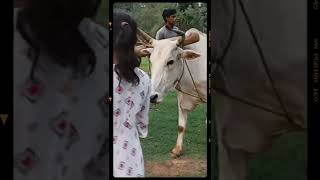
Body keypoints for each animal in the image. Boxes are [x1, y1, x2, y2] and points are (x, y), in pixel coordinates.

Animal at [137, 28, 208, 158]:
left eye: (170, 61)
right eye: (151, 60)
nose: (152, 96)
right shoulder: (181, 97)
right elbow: (181, 126)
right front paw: (177, 150)